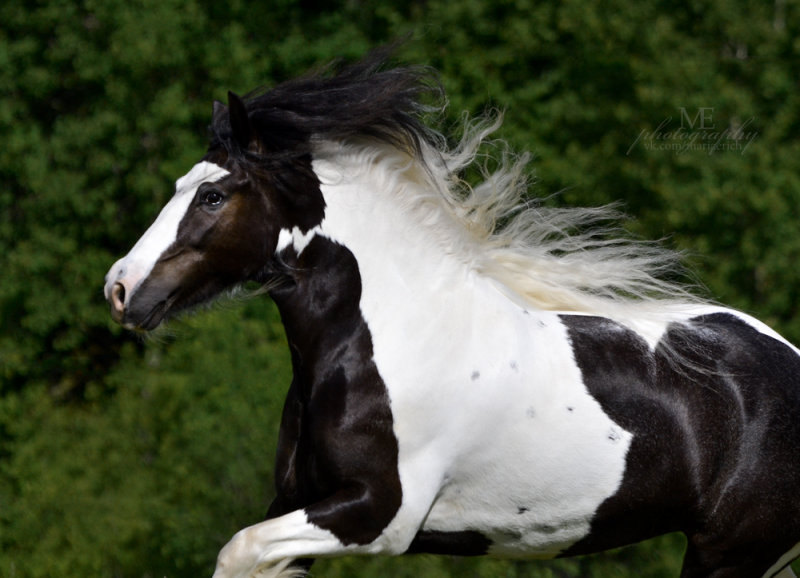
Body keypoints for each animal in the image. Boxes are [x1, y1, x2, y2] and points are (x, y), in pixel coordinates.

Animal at [104, 55, 800, 576]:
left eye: (212, 196)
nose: (119, 287)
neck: (393, 340)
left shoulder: (378, 516)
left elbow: (237, 549)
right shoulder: (299, 503)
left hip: (728, 554)